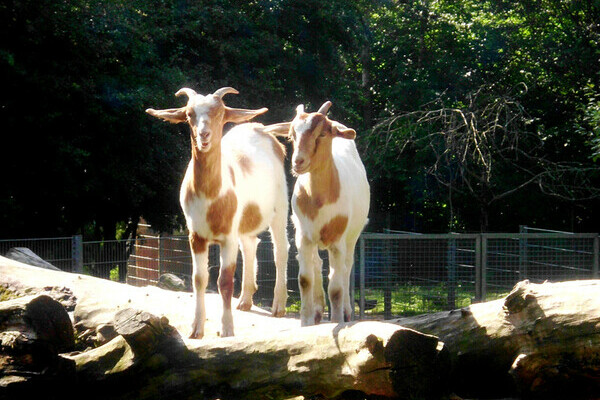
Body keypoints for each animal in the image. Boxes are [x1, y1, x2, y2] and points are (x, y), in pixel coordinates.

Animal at [144, 86, 288, 338]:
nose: (204, 135)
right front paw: (196, 329)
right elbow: (199, 279)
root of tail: (261, 130)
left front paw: (227, 329)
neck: (211, 197)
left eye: (220, 113)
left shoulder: (227, 237)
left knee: (281, 249)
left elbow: (225, 281)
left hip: (280, 206)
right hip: (246, 217)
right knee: (250, 244)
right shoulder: (196, 236)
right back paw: (245, 300)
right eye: (189, 114)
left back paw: (278, 305)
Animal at [284, 101, 368, 324]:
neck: (320, 200)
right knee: (316, 264)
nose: (298, 162)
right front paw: (305, 323)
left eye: (322, 134)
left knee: (347, 267)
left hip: (351, 236)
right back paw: (317, 311)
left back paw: (346, 312)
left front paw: (337, 321)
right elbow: (305, 279)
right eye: (292, 135)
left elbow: (336, 288)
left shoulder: (337, 240)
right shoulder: (303, 236)